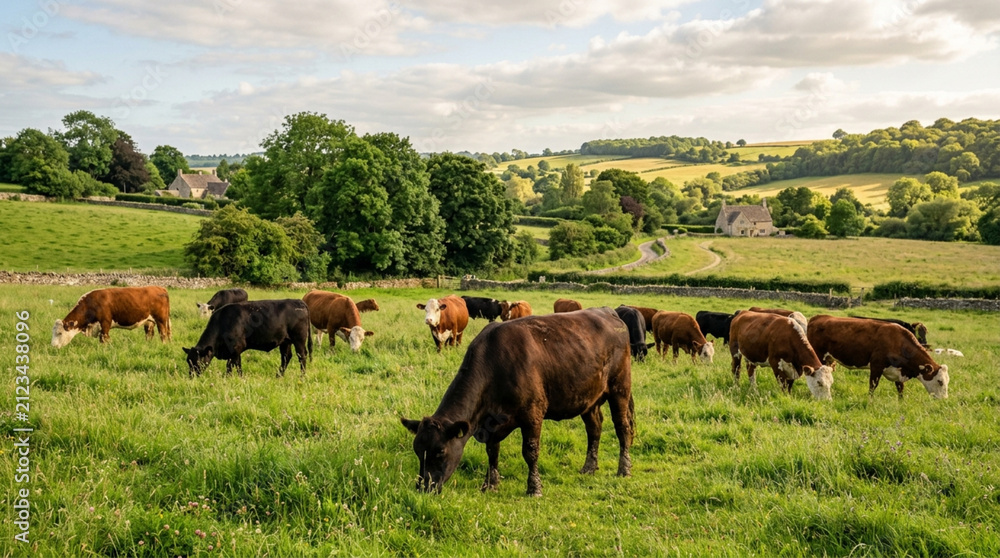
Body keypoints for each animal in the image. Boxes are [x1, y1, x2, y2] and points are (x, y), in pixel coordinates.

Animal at [183, 299, 312, 378]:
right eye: (188, 361)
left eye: (198, 362)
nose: (192, 376)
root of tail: (299, 301)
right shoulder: (234, 351)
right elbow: (237, 365)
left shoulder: (236, 348)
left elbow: (231, 366)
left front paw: (229, 378)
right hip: (285, 341)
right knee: (286, 357)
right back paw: (278, 376)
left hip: (299, 339)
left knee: (302, 356)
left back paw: (302, 376)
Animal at [401, 307, 634, 496]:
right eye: (417, 450)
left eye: (440, 451)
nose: (423, 487)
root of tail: (608, 311)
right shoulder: (491, 422)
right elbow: (492, 451)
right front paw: (490, 484)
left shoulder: (533, 413)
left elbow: (530, 452)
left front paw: (534, 488)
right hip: (588, 397)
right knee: (594, 429)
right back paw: (589, 467)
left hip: (620, 387)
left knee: (622, 427)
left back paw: (624, 469)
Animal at [806, 315, 948, 399]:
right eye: (940, 381)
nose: (944, 400)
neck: (898, 342)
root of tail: (819, 317)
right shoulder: (876, 366)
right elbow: (873, 386)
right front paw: (870, 401)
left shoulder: (898, 371)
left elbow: (900, 388)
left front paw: (901, 402)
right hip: (818, 356)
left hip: (828, 359)